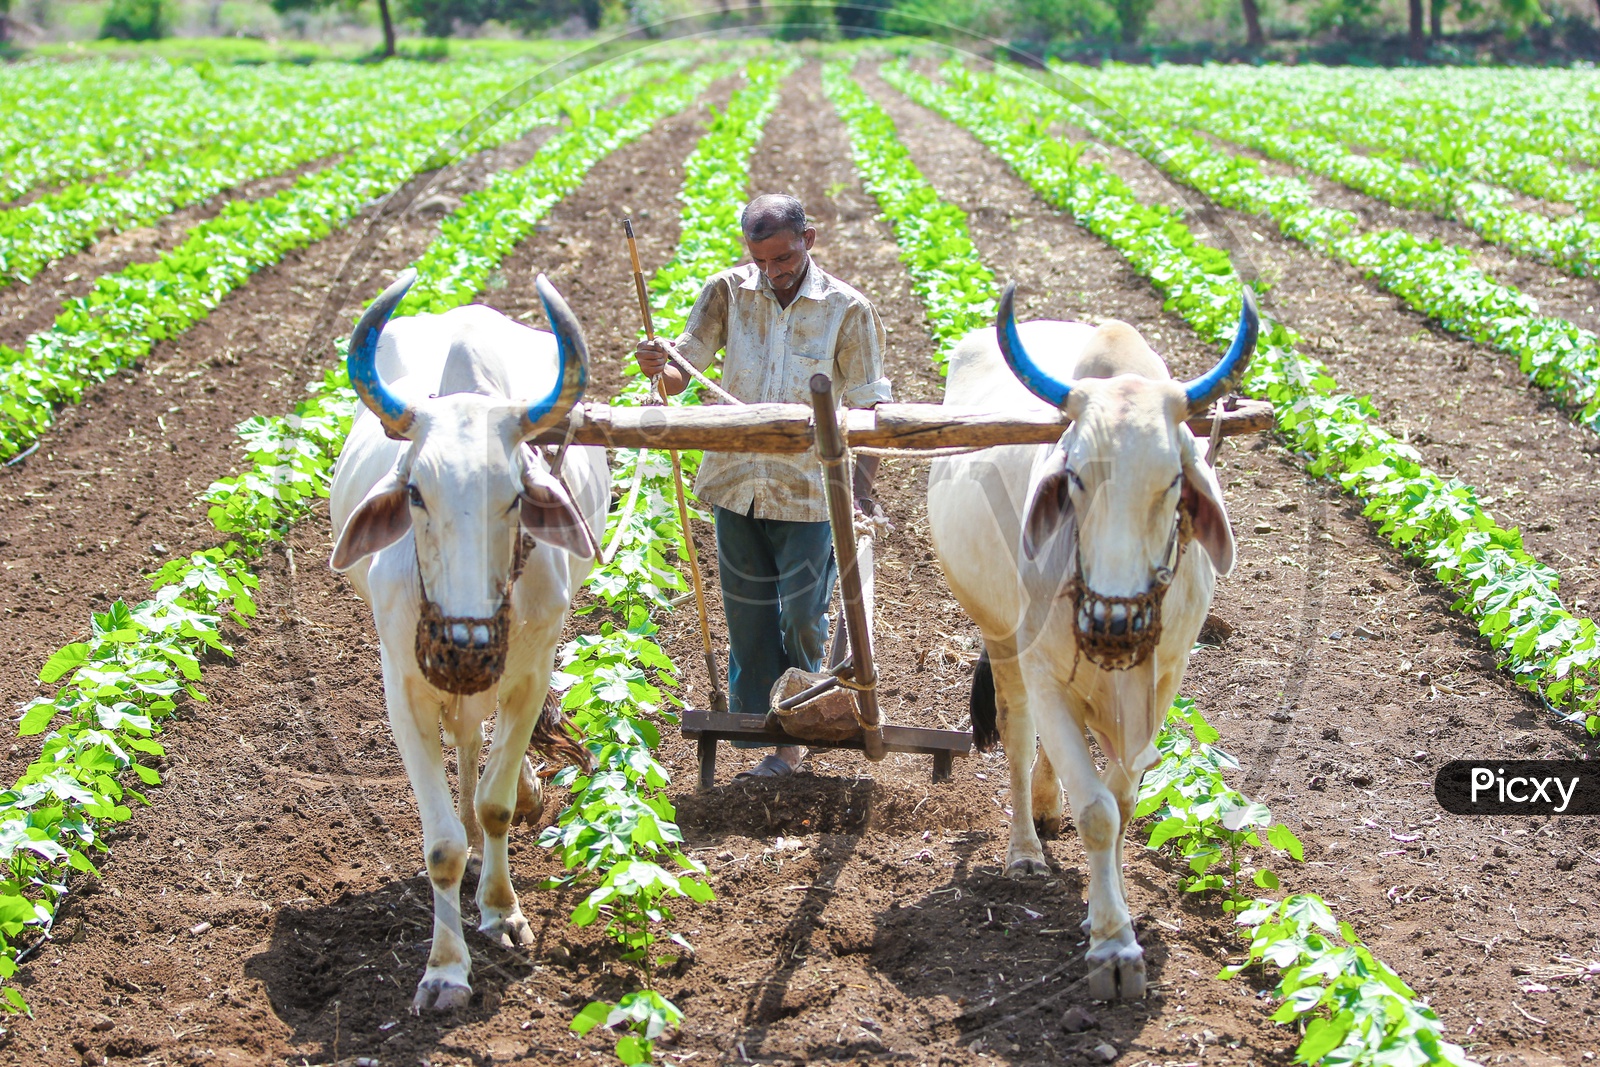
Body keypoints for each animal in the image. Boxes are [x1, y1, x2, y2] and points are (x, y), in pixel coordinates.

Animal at [324, 268, 604, 1011]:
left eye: (514, 495)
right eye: (416, 491)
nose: (466, 646)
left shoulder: (530, 675)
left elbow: (497, 804)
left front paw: (501, 910)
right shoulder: (403, 690)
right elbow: (442, 846)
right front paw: (446, 970)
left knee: (484, 752)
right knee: (467, 743)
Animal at [934, 286, 1254, 1004]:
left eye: (1172, 480)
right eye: (1076, 476)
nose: (1113, 622)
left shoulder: (1164, 680)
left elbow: (1125, 797)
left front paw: (1100, 907)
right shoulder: (1043, 671)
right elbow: (1098, 810)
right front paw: (1113, 944)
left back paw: (1047, 809)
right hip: (1000, 637)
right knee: (1020, 739)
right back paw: (1026, 846)